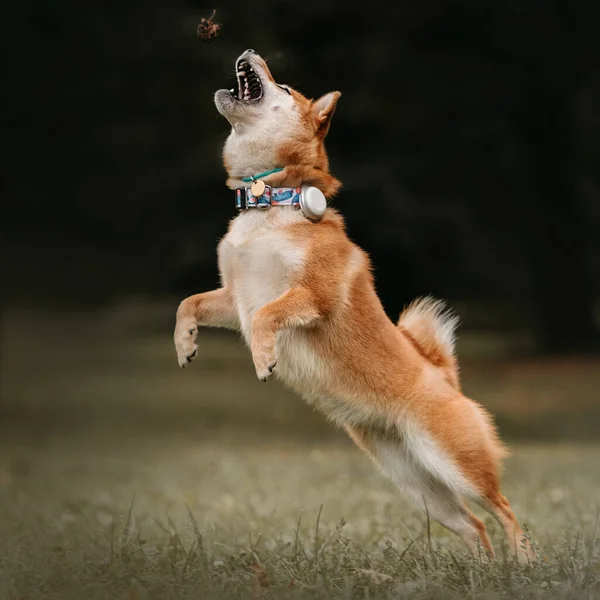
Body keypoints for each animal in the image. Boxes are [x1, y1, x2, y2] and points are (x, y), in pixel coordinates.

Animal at [173, 49, 536, 560]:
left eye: (285, 87)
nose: (248, 53)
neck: (271, 202)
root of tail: (447, 379)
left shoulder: (312, 295)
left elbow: (267, 316)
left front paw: (264, 359)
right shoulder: (232, 298)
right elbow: (189, 304)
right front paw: (185, 344)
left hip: (457, 464)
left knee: (504, 510)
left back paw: (524, 561)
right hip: (419, 485)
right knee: (474, 525)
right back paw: (482, 570)